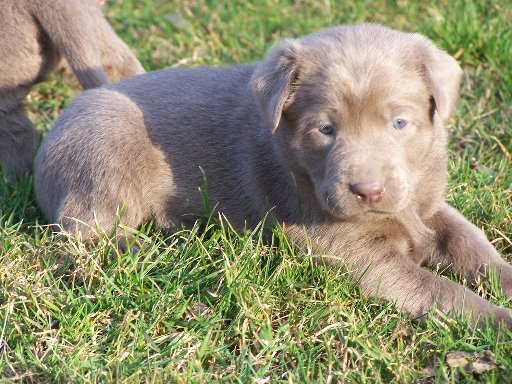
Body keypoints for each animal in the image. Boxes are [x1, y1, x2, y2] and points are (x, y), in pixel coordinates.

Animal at [35, 24, 512, 328]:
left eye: (400, 123)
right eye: (326, 129)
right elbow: (440, 291)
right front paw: (500, 322)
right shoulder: (360, 255)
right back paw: (149, 248)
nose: (368, 190)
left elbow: (474, 248)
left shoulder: (429, 208)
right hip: (101, 156)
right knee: (85, 232)